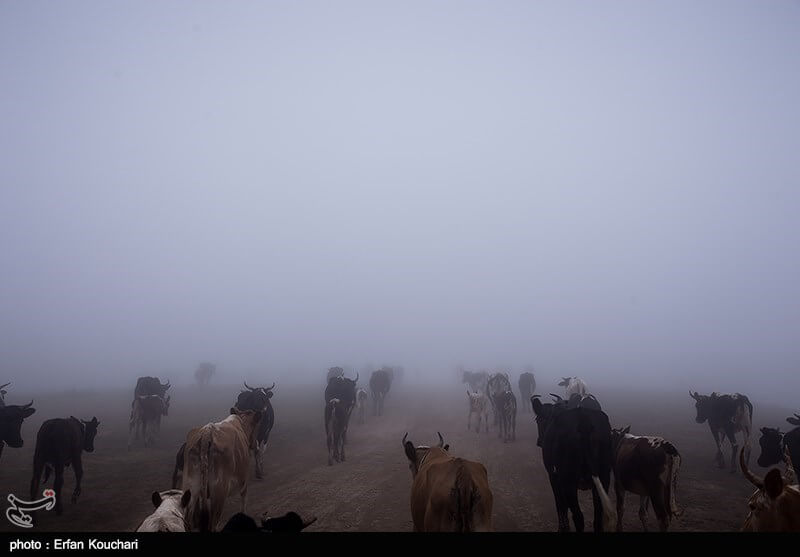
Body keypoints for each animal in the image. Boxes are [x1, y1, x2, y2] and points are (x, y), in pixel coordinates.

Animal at [532, 394, 620, 532]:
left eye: (538, 420)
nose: (539, 441)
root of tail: (584, 420)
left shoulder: (554, 477)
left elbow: (560, 504)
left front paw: (562, 528)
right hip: (604, 477)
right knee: (597, 517)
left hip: (569, 481)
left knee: (578, 516)